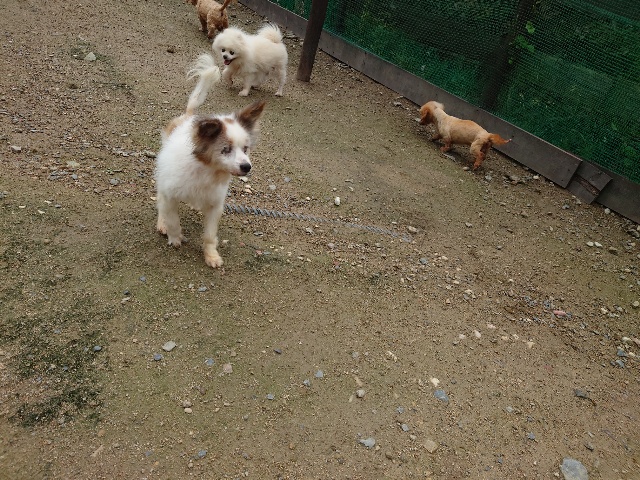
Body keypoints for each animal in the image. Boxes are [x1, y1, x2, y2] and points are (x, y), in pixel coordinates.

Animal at [155, 53, 266, 268]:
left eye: (245, 149)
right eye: (225, 150)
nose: (246, 167)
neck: (207, 171)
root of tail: (188, 116)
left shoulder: (215, 206)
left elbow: (209, 235)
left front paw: (211, 256)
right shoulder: (170, 194)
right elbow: (172, 218)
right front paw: (175, 237)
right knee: (161, 202)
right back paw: (162, 223)